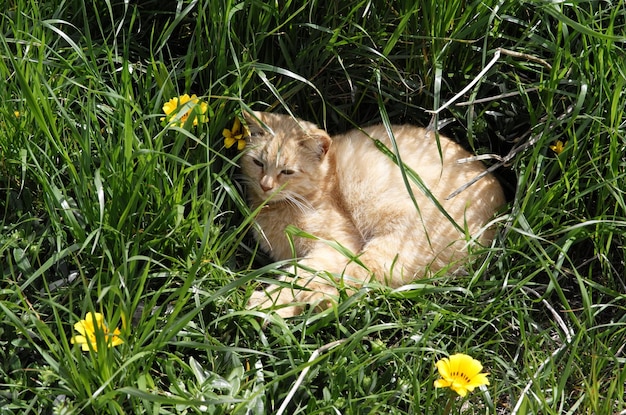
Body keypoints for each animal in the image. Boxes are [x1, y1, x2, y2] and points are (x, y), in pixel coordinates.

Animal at [239, 112, 502, 316]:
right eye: (258, 163)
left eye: (287, 171)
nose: (265, 185)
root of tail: (500, 201)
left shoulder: (336, 245)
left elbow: (299, 278)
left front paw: (268, 304)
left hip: (392, 244)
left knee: (355, 282)